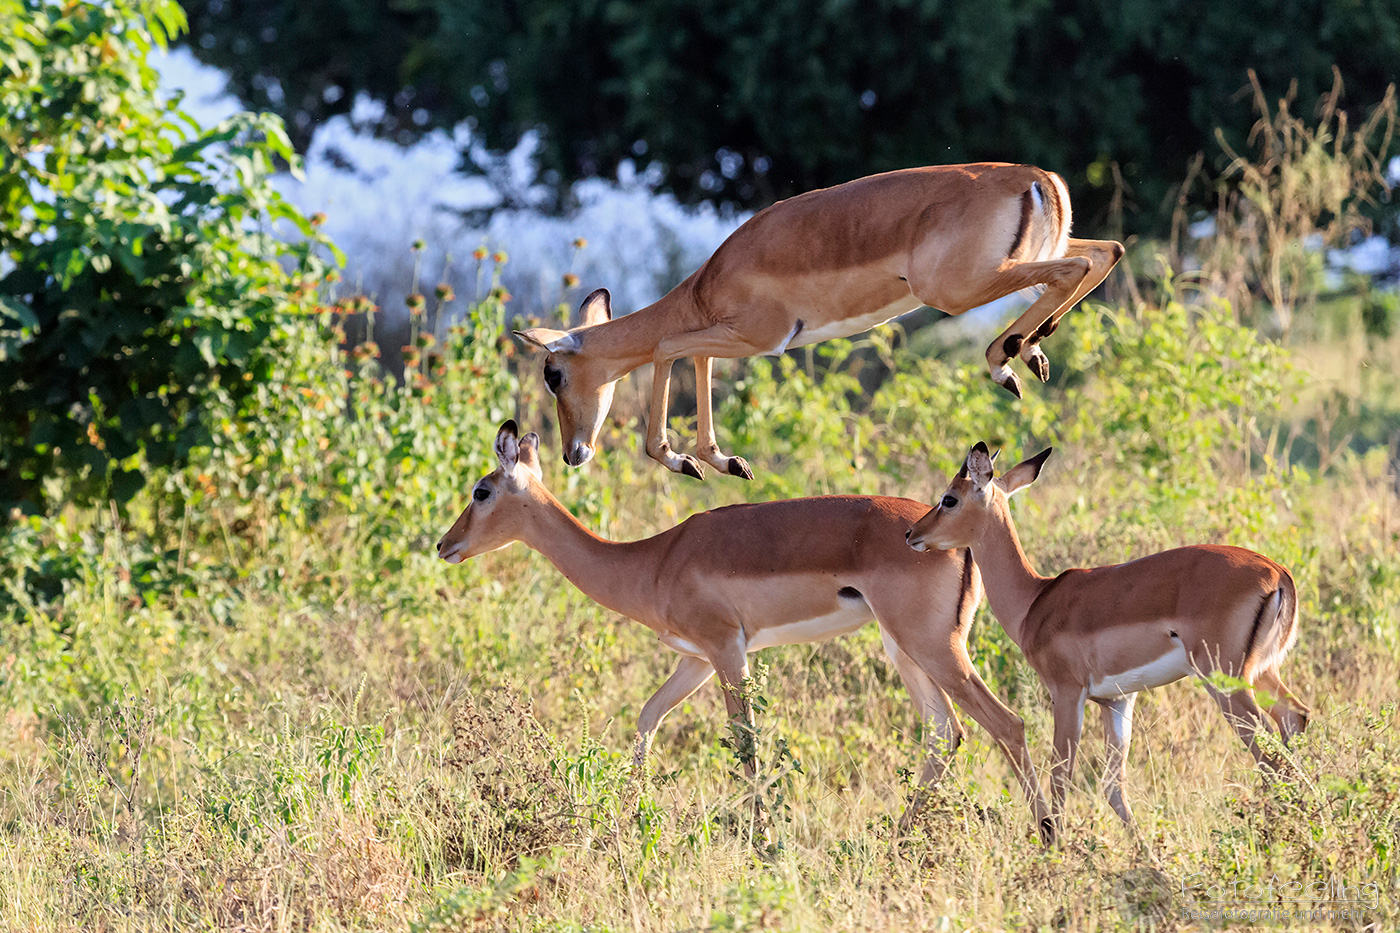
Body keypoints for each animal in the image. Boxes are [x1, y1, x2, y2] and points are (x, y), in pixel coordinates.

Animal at [437, 420, 1056, 844]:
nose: (445, 544)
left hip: (933, 647)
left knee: (1006, 723)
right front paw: (628, 821)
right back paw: (897, 839)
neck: (654, 562)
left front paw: (764, 842)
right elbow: (647, 718)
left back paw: (1047, 835)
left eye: (480, 491)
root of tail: (947, 539)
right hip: (903, 648)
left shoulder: (726, 649)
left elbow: (746, 740)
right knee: (945, 733)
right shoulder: (694, 659)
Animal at [515, 164, 1122, 480]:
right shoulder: (730, 336)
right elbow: (693, 355)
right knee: (1105, 252)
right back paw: (1032, 352)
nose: (573, 453)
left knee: (1082, 264)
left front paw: (680, 459)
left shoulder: (762, 338)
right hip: (1020, 263)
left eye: (554, 375)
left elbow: (666, 345)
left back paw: (1007, 362)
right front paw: (724, 460)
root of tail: (1038, 178)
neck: (710, 280)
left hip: (958, 288)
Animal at [906, 443, 1310, 831]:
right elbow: (1113, 787)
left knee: (1273, 756)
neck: (1035, 600)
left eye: (949, 498)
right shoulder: (1117, 701)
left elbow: (1061, 778)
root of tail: (1279, 574)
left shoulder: (1067, 692)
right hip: (1262, 672)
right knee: (1296, 717)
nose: (911, 534)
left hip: (1225, 680)